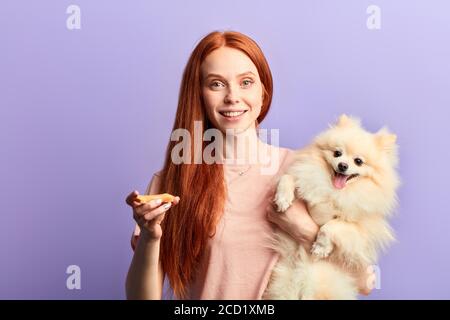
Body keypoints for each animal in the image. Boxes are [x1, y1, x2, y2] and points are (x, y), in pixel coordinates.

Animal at [264, 115, 400, 300]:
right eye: (337, 153)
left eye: (358, 161)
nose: (342, 165)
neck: (334, 192)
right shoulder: (307, 182)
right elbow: (288, 177)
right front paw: (283, 198)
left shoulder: (362, 229)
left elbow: (332, 226)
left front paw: (321, 248)